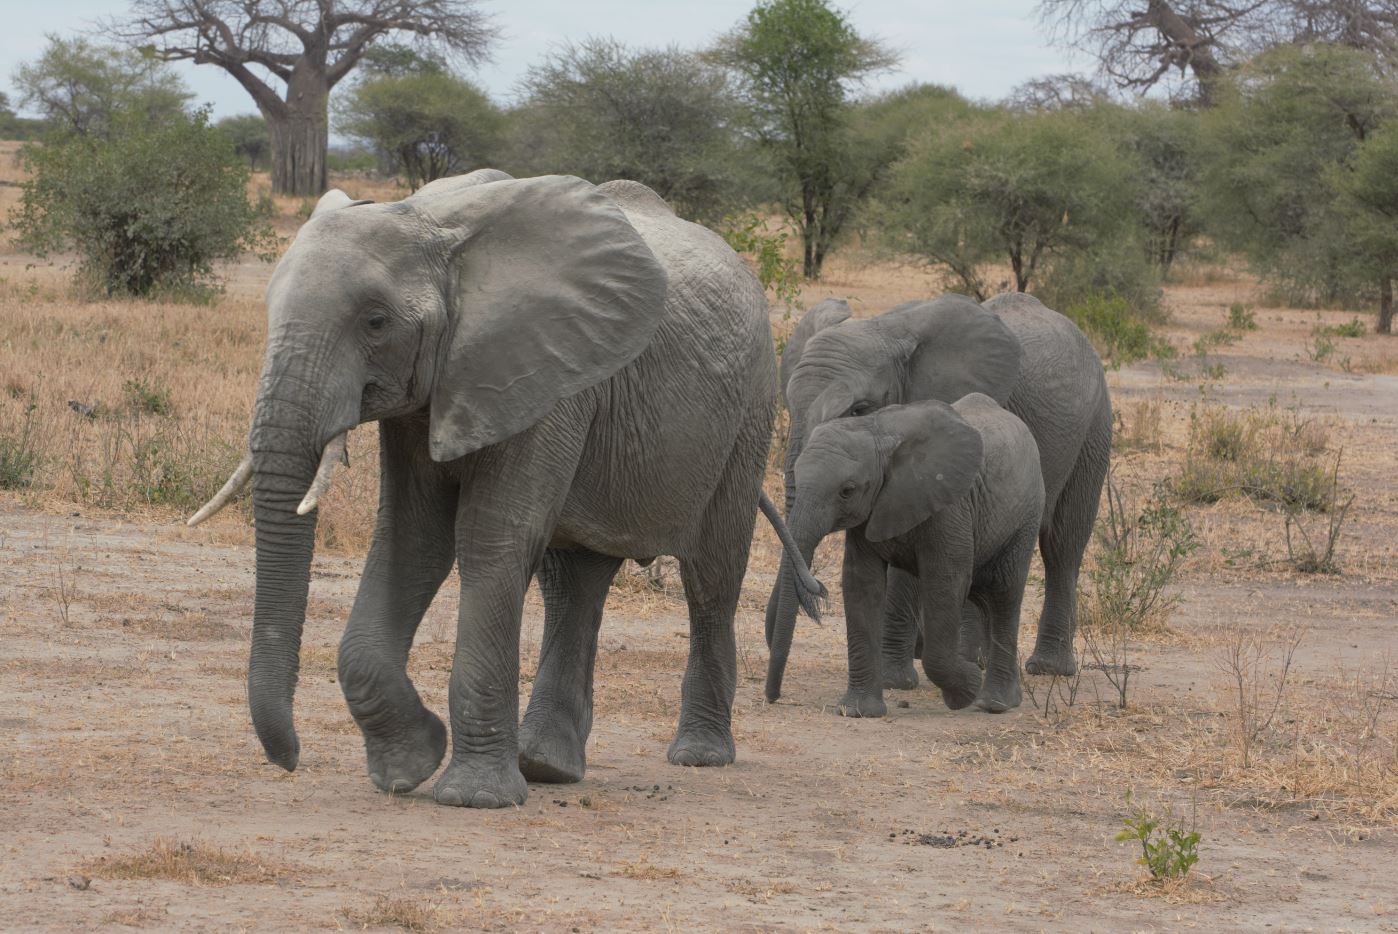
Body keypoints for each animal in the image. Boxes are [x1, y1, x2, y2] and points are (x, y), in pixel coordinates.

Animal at [188, 171, 816, 805]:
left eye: (376, 322)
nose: (289, 760)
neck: (430, 224)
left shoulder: (546, 371)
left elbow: (490, 539)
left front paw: (473, 797)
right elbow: (411, 540)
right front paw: (408, 768)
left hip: (749, 412)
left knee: (712, 576)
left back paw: (698, 756)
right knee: (573, 585)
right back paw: (545, 766)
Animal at [766, 391, 1051, 715]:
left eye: (847, 491)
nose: (774, 697)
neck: (876, 431)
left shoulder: (949, 505)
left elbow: (945, 583)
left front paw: (966, 689)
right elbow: (861, 584)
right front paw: (860, 711)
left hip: (1026, 515)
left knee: (1005, 595)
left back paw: (994, 703)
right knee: (983, 594)